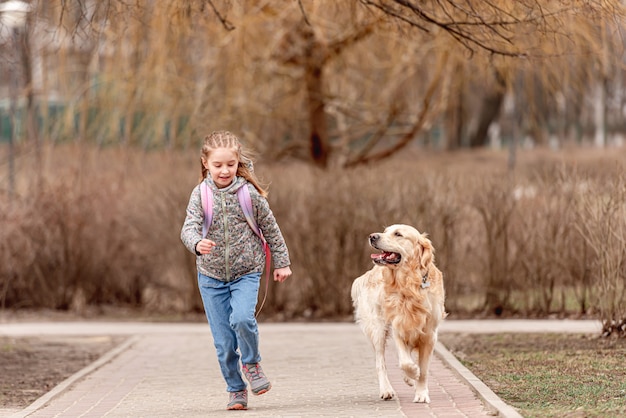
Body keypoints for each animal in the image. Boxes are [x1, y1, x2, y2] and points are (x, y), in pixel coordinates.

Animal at [348, 224, 446, 404]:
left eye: (398, 234)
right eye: (385, 231)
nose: (372, 236)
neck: (408, 284)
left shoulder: (429, 334)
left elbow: (424, 369)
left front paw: (421, 393)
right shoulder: (398, 326)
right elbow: (405, 362)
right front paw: (413, 372)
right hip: (378, 328)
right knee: (381, 362)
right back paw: (387, 389)